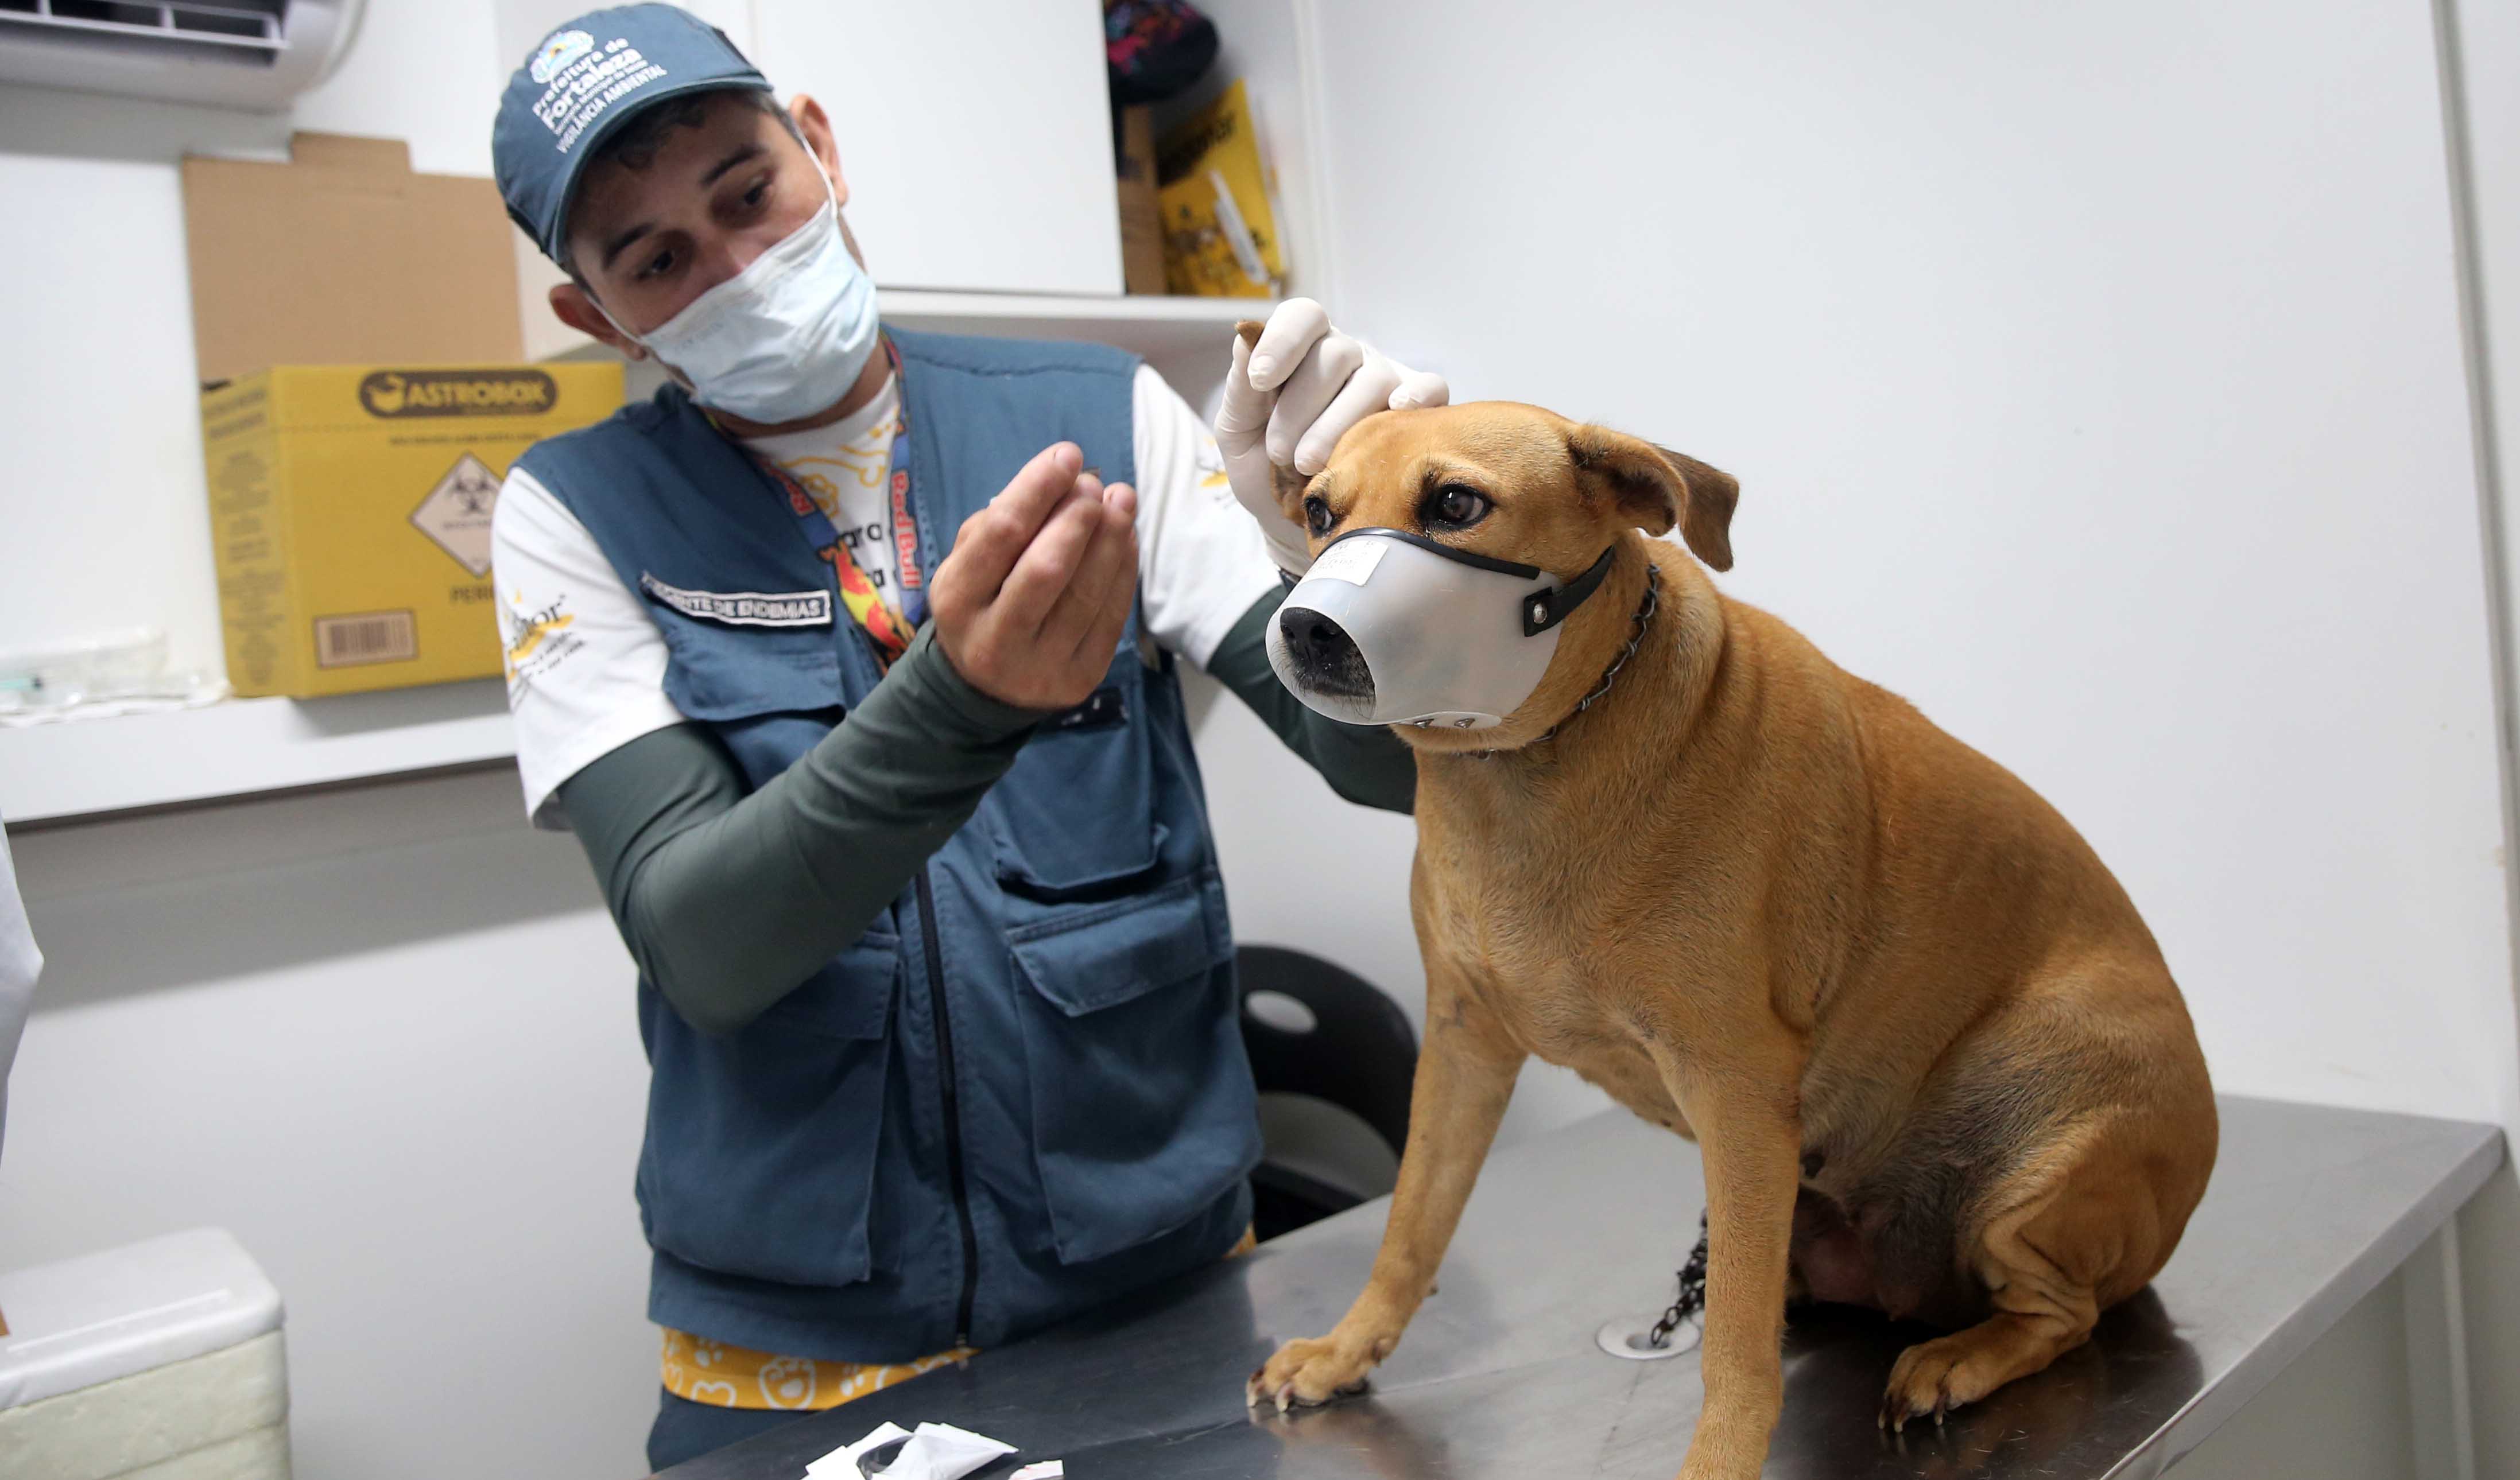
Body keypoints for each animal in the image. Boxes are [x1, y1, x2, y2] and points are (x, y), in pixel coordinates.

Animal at [1250, 395, 2217, 1480]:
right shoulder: (1464, 1048)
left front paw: (1720, 1456)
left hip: (2041, 1157)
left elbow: (1737, 1356)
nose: (1305, 626)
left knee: (2065, 1311)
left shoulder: (1736, 1088)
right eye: (1319, 511)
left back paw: (1955, 1358)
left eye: (1456, 503)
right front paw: (1346, 1349)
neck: (1535, 759)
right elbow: (1412, 1226)